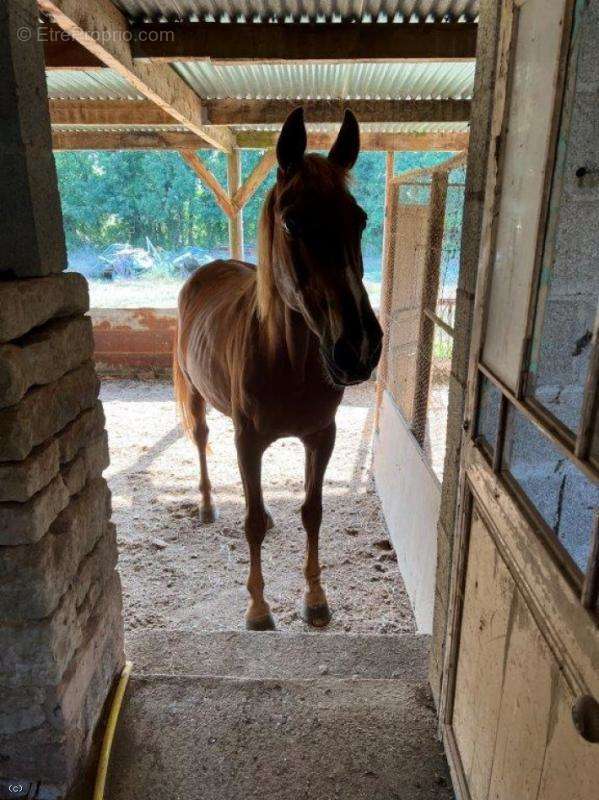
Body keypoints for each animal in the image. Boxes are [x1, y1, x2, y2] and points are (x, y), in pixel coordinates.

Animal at [171, 108, 382, 632]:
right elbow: (249, 522)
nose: (359, 347)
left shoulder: (320, 436)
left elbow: (312, 512)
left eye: (360, 219)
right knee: (201, 440)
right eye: (290, 222)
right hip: (197, 398)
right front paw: (258, 609)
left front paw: (316, 598)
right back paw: (207, 505)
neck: (287, 359)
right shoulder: (248, 440)